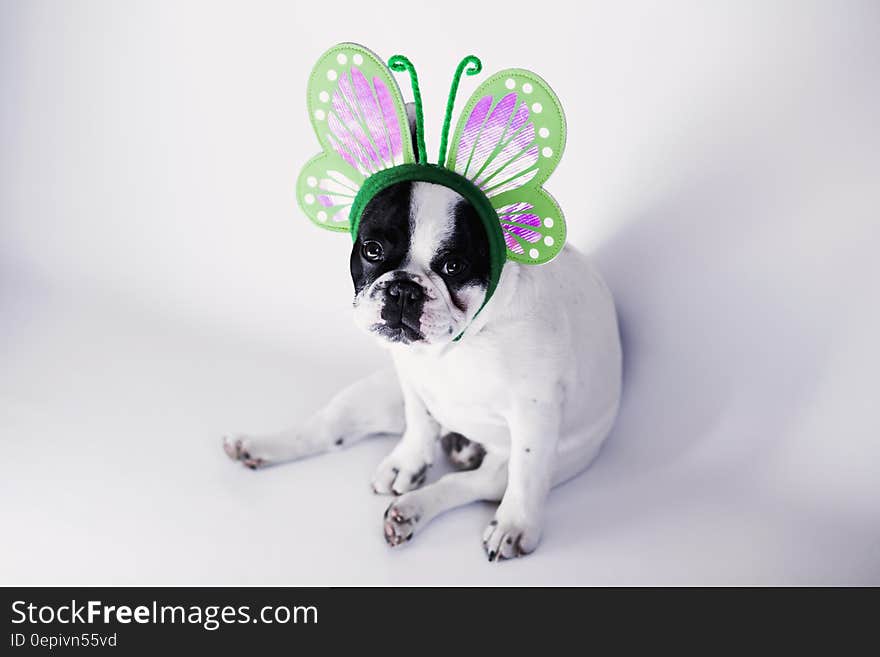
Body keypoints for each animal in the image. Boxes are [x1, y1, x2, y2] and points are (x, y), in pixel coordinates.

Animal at [223, 111, 624, 560]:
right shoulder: (411, 379)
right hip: (373, 396)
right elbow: (419, 423)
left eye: (454, 266)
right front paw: (409, 461)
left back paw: (412, 511)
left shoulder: (534, 414)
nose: (403, 289)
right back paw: (258, 446)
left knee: (467, 483)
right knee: (326, 430)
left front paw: (515, 525)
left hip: (518, 463)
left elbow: (526, 475)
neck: (461, 343)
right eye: (372, 250)